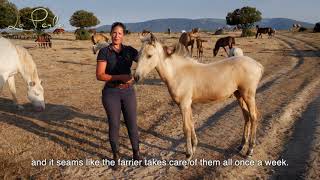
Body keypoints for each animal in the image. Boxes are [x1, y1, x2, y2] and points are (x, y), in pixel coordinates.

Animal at [134, 34, 264, 160]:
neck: (177, 73)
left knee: (253, 116)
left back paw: (249, 150)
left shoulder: (184, 104)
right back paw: (241, 145)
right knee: (246, 116)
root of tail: (257, 64)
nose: (136, 77)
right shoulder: (188, 104)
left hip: (248, 95)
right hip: (239, 95)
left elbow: (186, 127)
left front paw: (188, 154)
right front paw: (194, 146)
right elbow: (191, 123)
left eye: (149, 55)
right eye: (138, 55)